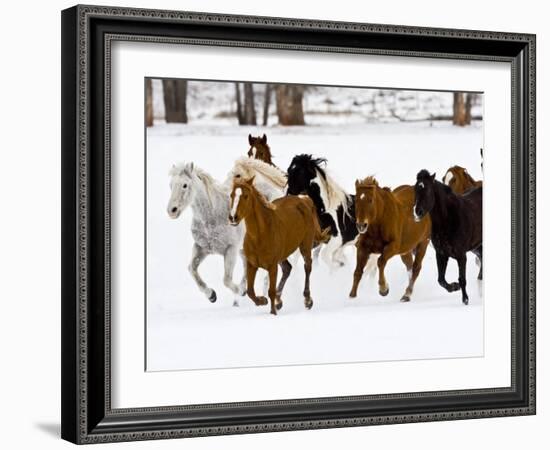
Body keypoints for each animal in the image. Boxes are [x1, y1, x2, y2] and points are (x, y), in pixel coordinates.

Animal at [167, 163, 247, 304]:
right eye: (171, 185)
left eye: (185, 185)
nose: (172, 210)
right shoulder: (201, 248)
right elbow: (191, 269)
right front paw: (211, 295)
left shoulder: (231, 249)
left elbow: (226, 280)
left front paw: (240, 291)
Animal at [227, 178, 328, 314]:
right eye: (232, 195)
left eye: (246, 196)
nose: (233, 217)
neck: (260, 235)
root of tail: (304, 199)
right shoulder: (252, 265)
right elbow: (250, 291)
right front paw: (263, 301)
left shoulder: (272, 266)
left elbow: (271, 291)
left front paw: (273, 312)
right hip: (283, 255)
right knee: (287, 268)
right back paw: (279, 301)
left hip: (305, 245)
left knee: (307, 266)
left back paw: (307, 301)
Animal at [414, 170, 484, 306]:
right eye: (415, 190)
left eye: (428, 190)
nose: (417, 212)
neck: (448, 220)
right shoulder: (441, 254)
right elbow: (441, 280)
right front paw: (454, 286)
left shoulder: (461, 255)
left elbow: (462, 279)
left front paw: (465, 300)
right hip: (477, 248)